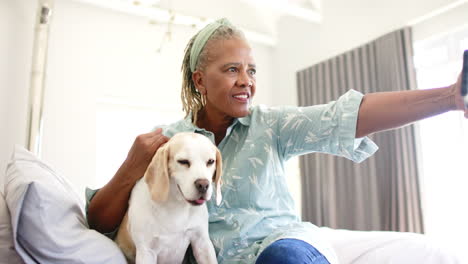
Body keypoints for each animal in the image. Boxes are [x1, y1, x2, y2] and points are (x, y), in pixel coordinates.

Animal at [114, 133, 221, 262]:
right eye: (183, 161)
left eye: (210, 161)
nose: (203, 185)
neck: (176, 206)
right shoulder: (146, 251)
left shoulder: (202, 242)